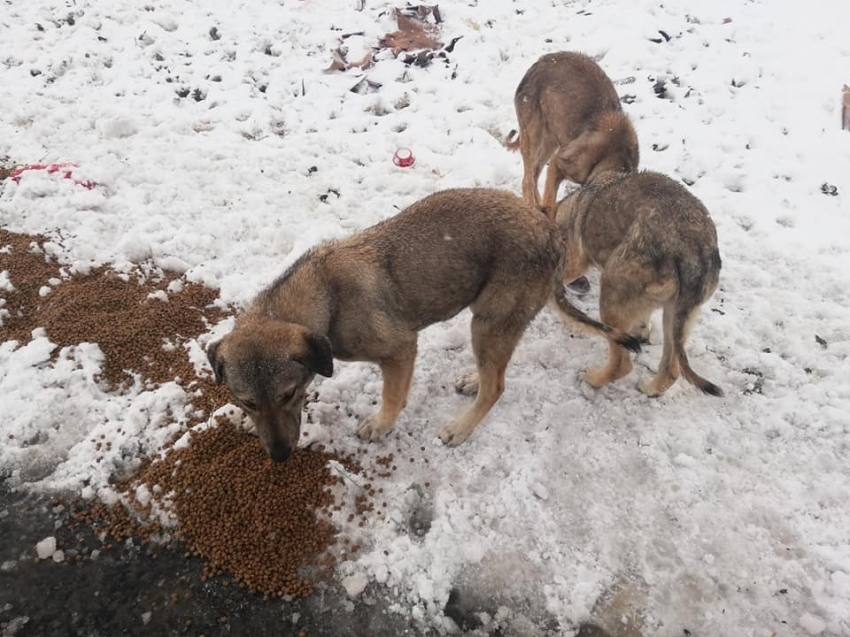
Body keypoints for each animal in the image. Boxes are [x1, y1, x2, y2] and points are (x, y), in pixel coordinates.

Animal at [205, 186, 640, 460]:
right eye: (246, 402)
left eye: (289, 394)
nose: (279, 457)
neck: (325, 296)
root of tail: (552, 233)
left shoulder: (400, 349)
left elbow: (393, 397)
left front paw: (381, 425)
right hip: (495, 325)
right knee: (494, 372)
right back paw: (473, 379)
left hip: (487, 323)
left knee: (497, 387)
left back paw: (462, 427)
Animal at [504, 50, 636, 219]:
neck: (615, 154)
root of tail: (537, 63)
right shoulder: (559, 162)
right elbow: (550, 203)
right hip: (532, 135)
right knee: (527, 181)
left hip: (551, 141)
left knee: (534, 174)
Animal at [548, 170, 724, 398]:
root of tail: (692, 252)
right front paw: (641, 330)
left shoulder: (575, 261)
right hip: (676, 315)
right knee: (672, 369)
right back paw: (651, 388)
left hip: (611, 292)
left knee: (621, 364)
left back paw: (592, 379)